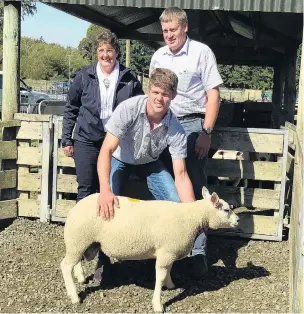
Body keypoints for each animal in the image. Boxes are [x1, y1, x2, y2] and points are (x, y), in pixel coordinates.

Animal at [60, 186, 240, 312]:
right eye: (226, 210)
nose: (238, 220)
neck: (191, 217)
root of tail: (76, 207)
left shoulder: (168, 251)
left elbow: (169, 271)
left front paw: (170, 284)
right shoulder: (166, 252)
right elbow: (159, 277)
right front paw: (158, 304)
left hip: (83, 242)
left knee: (76, 261)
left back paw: (80, 278)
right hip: (78, 238)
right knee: (65, 265)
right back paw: (74, 296)